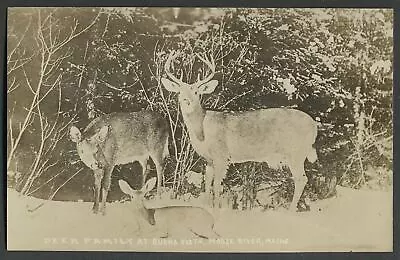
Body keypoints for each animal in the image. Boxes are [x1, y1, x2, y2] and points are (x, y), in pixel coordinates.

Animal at [161, 50, 318, 211]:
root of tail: (314, 125)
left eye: (197, 93)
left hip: (296, 152)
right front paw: (206, 207)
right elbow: (207, 185)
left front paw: (217, 209)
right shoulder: (209, 160)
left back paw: (290, 210)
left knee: (301, 179)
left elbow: (217, 185)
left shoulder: (222, 155)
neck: (202, 131)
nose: (187, 101)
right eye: (179, 92)